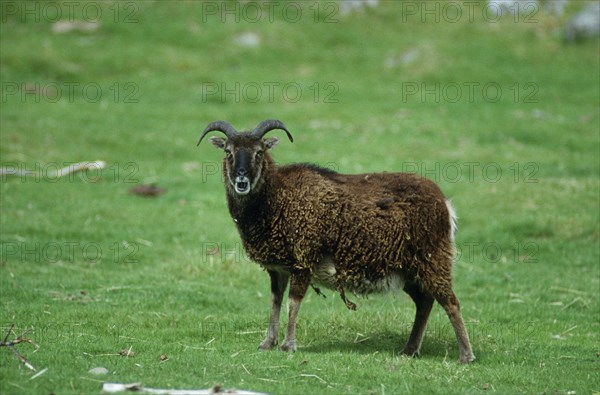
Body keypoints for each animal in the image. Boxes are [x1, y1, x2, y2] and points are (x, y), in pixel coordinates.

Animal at [199, 119, 476, 364]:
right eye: (228, 151)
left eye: (259, 152)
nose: (241, 181)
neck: (278, 198)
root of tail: (445, 205)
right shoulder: (278, 269)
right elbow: (275, 302)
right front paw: (267, 343)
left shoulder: (303, 260)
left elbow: (293, 302)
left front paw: (288, 346)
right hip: (409, 269)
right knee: (425, 302)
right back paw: (409, 350)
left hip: (433, 259)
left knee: (451, 302)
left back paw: (466, 356)